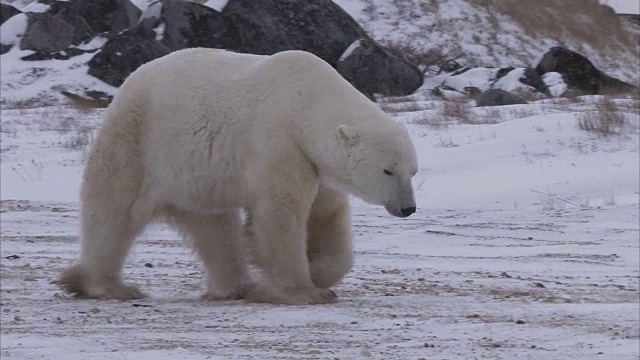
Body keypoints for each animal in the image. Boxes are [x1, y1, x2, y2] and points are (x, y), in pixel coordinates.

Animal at [60, 47, 420, 304]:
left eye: (413, 171)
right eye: (388, 169)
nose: (408, 208)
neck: (306, 99)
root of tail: (128, 83)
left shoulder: (317, 165)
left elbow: (327, 218)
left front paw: (320, 275)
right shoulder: (278, 141)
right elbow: (279, 214)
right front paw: (303, 291)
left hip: (197, 179)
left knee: (215, 228)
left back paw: (238, 287)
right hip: (138, 139)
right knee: (113, 209)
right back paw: (105, 286)